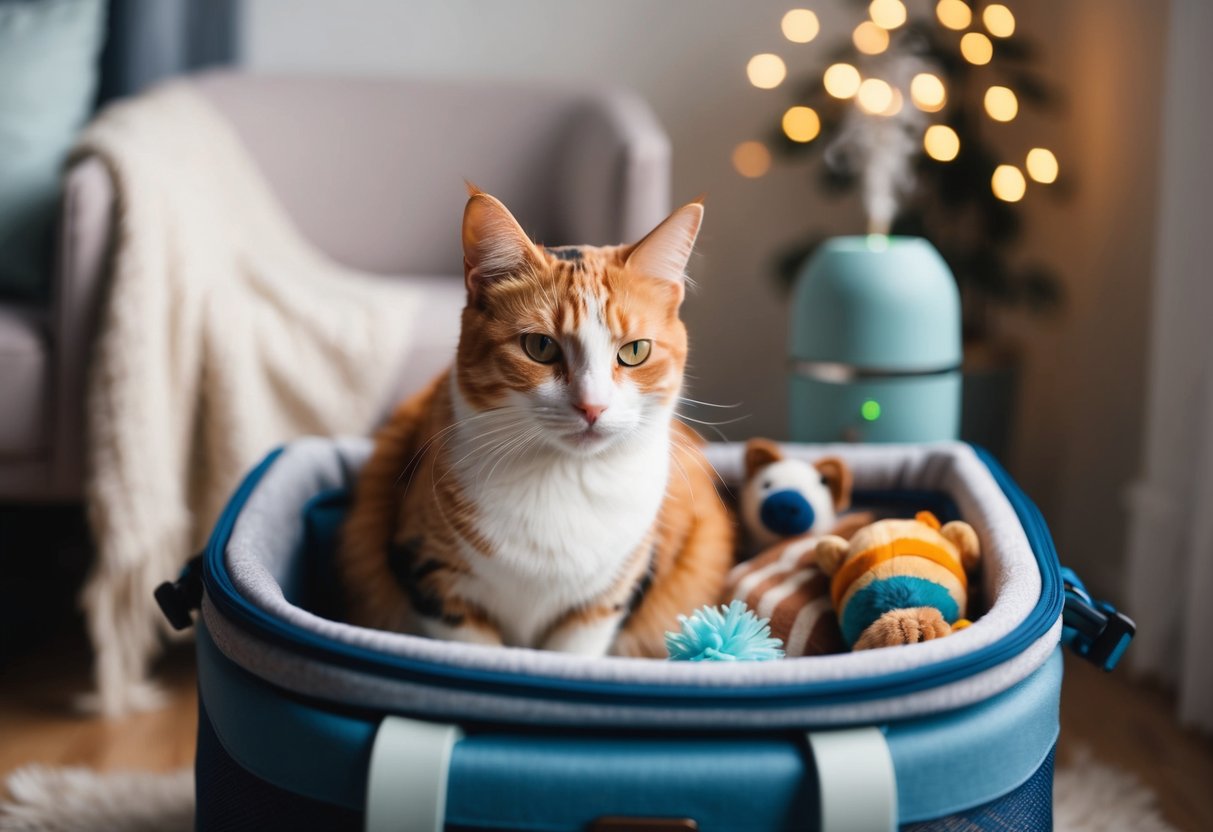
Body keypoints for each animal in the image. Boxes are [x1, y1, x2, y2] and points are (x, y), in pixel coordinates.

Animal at [337, 187, 732, 659]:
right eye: (540, 347)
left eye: (635, 351)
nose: (592, 407)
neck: (561, 476)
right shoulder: (433, 578)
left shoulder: (605, 600)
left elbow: (572, 654)